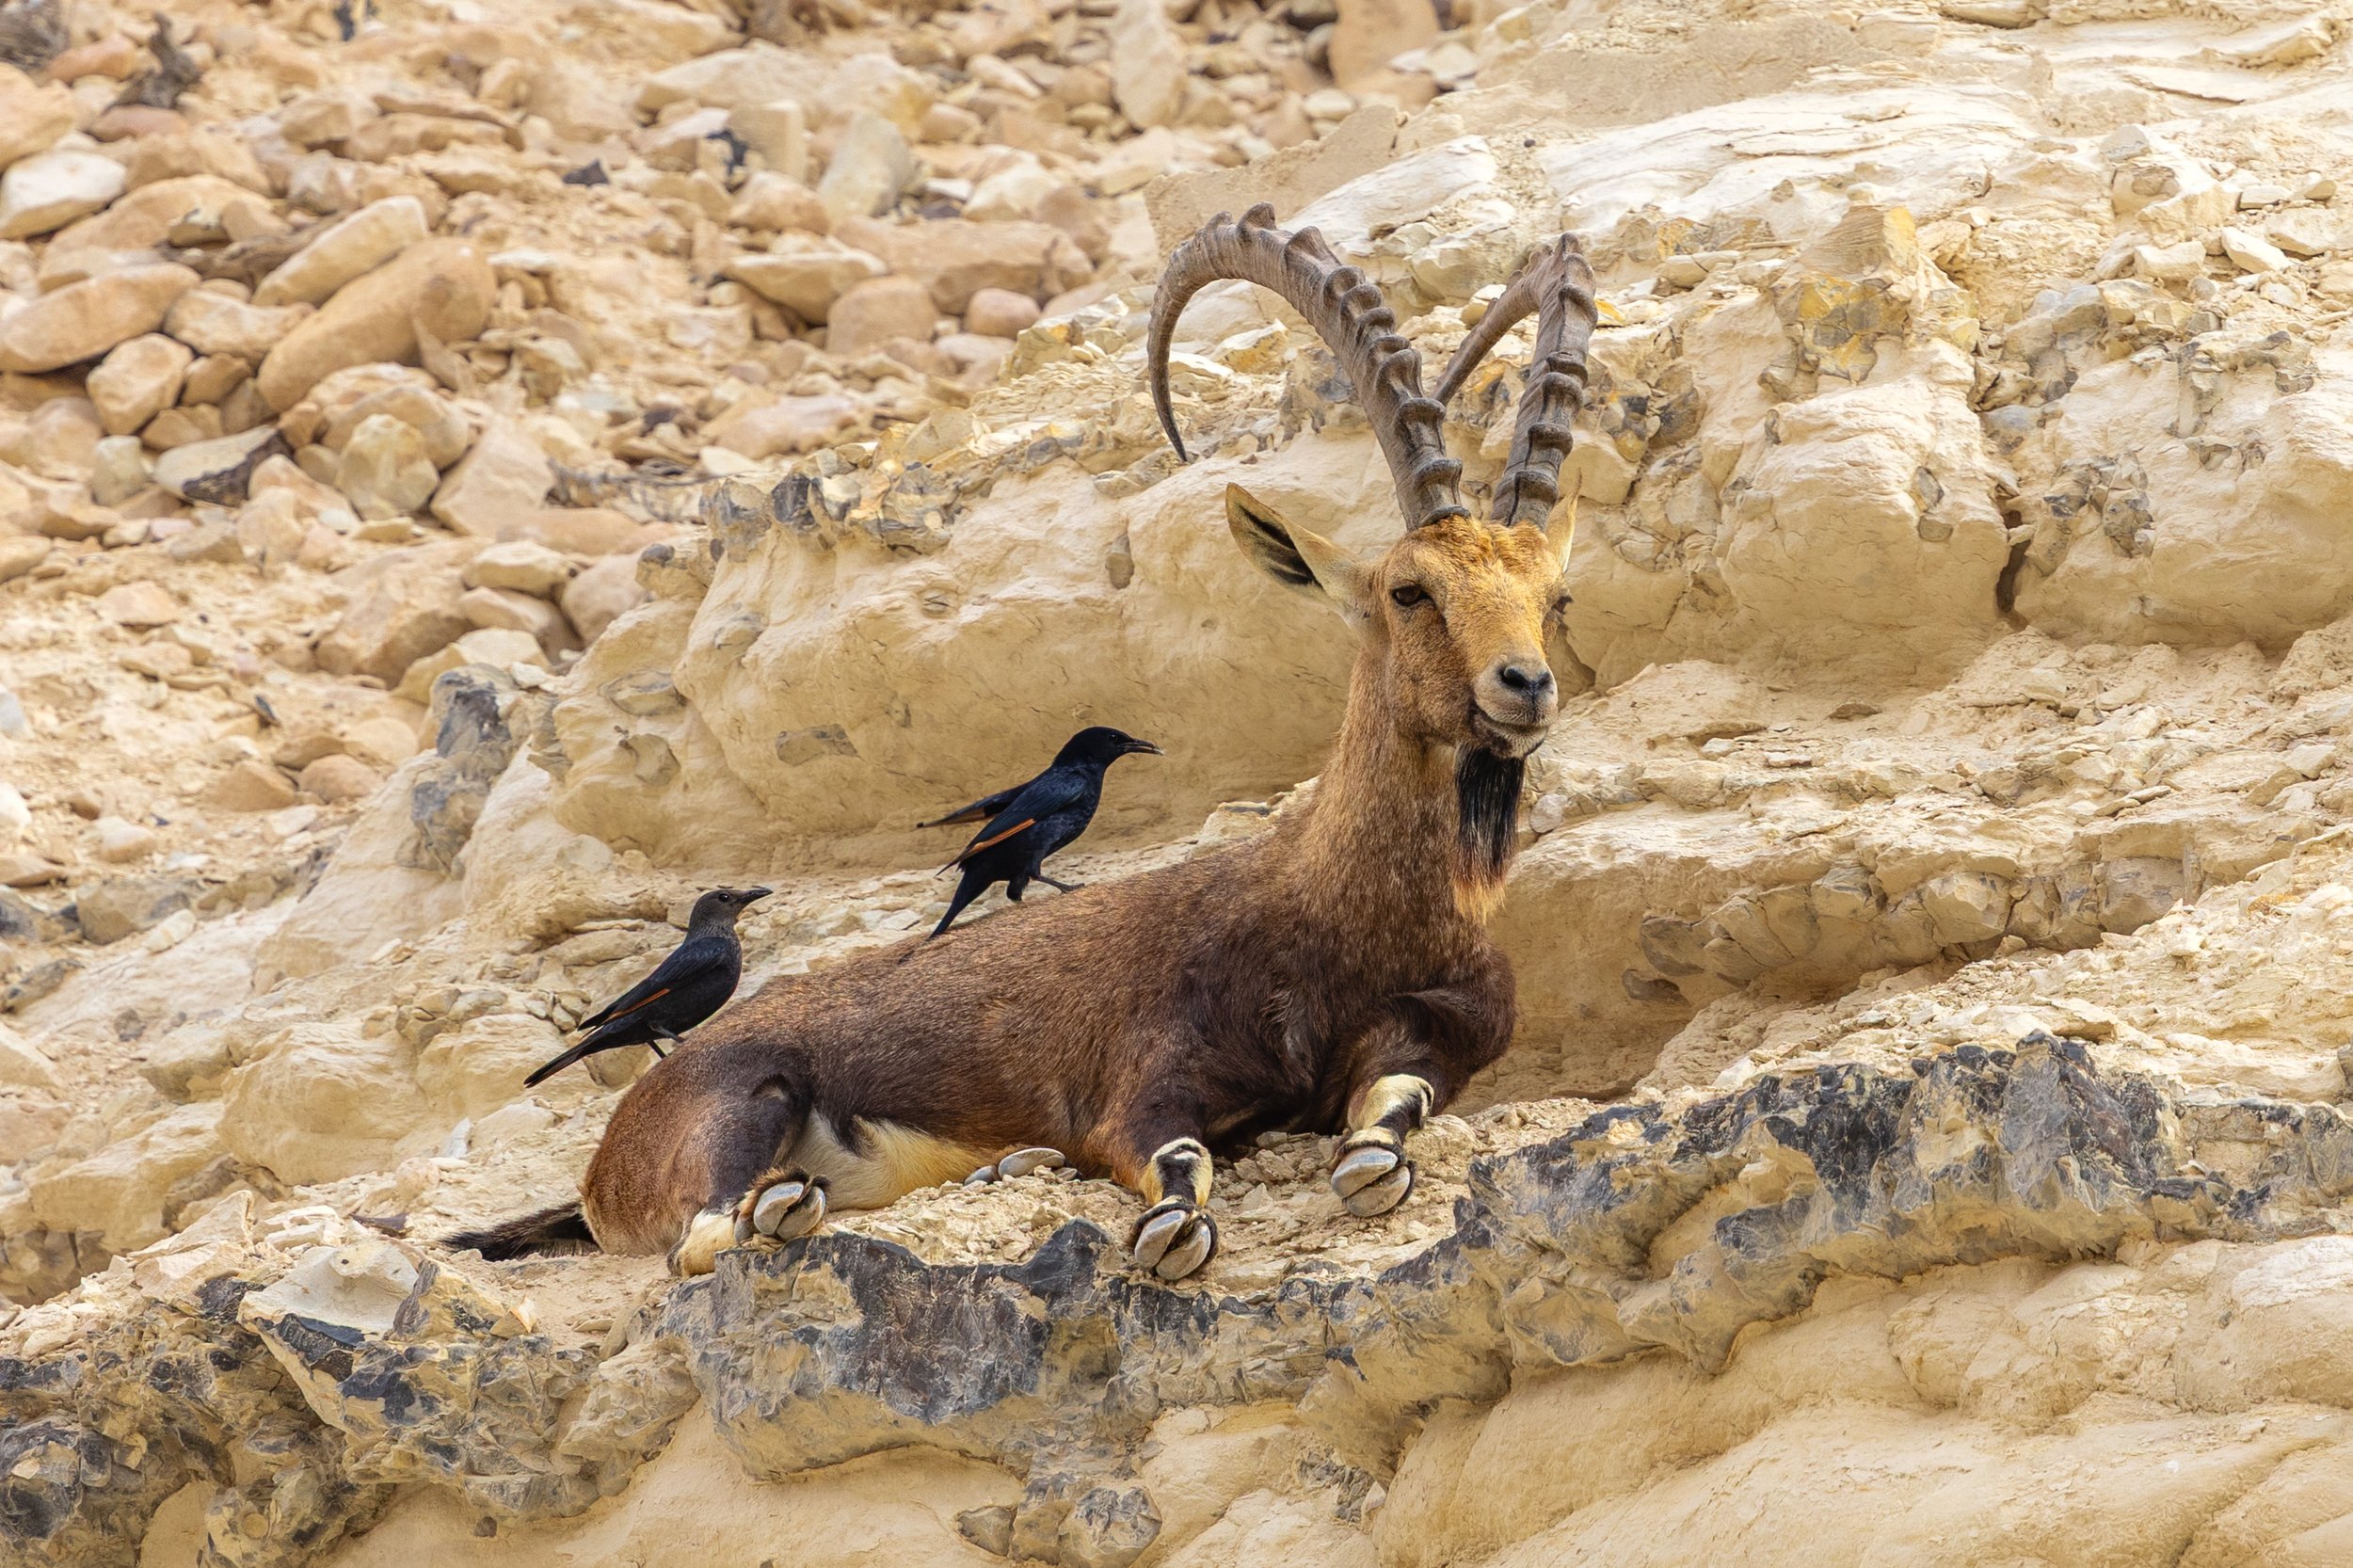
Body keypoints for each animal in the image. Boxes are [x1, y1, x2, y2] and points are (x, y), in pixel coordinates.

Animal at [448, 205, 1599, 1281]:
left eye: (1554, 596)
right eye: (1410, 590)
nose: (1524, 684)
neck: (1336, 907)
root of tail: (604, 1164)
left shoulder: (1434, 1041)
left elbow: (1384, 1133)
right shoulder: (1140, 1071)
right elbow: (1172, 1160)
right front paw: (1169, 1228)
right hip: (737, 1099)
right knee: (704, 1233)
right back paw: (785, 1209)